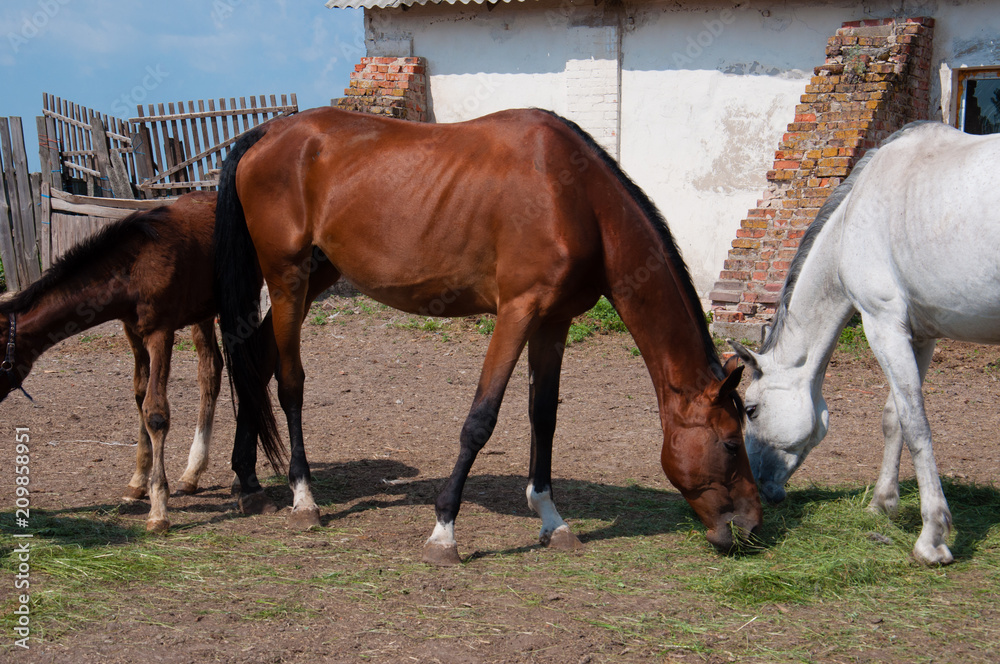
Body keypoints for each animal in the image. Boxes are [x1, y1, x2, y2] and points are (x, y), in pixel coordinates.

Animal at [0, 192, 292, 532]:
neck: (132, 268)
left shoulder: (159, 333)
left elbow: (156, 412)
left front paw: (158, 510)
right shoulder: (133, 331)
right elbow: (140, 396)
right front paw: (138, 482)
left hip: (240, 298)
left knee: (247, 370)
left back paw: (238, 479)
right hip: (203, 312)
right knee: (211, 371)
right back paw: (192, 472)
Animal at [213, 106, 761, 565]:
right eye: (731, 444)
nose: (753, 527)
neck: (575, 197)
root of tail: (270, 131)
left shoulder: (553, 321)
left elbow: (544, 417)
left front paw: (552, 519)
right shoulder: (517, 311)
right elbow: (481, 419)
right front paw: (443, 532)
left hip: (316, 273)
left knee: (256, 359)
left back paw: (247, 481)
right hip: (286, 277)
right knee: (289, 382)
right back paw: (303, 499)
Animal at [731, 121, 1000, 565]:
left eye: (751, 410)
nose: (760, 489)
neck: (852, 221)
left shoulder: (882, 324)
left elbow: (916, 425)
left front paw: (932, 538)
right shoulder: (918, 336)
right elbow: (894, 418)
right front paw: (882, 503)